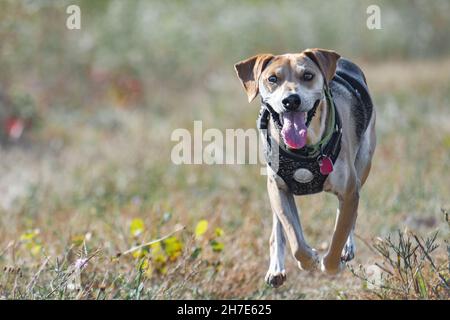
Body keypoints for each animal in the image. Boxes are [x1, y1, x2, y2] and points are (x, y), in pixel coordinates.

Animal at [236, 48, 376, 288]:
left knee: (351, 215)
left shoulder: (349, 190)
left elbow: (339, 232)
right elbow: (294, 236)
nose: (291, 100)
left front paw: (332, 264)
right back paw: (276, 269)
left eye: (308, 76)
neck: (303, 150)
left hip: (364, 162)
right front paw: (309, 259)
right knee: (278, 226)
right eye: (272, 79)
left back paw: (347, 248)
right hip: (273, 186)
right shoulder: (279, 188)